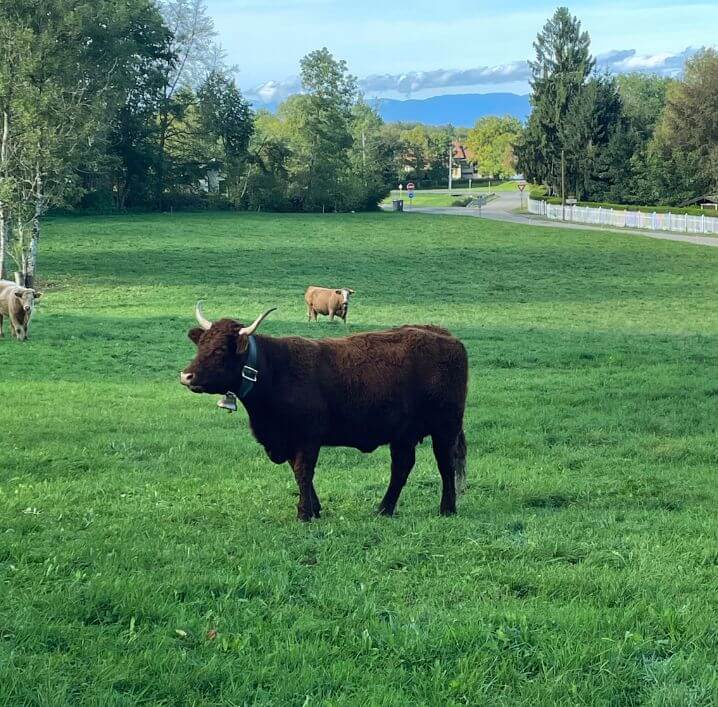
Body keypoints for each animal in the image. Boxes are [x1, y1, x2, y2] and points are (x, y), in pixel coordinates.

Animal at [180, 302, 468, 521]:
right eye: (200, 345)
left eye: (220, 349)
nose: (186, 375)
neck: (275, 370)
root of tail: (443, 334)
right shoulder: (288, 439)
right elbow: (298, 473)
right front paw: (315, 509)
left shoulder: (307, 437)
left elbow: (303, 472)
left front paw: (304, 514)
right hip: (403, 435)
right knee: (402, 466)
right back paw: (384, 509)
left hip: (446, 428)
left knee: (445, 464)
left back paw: (447, 509)